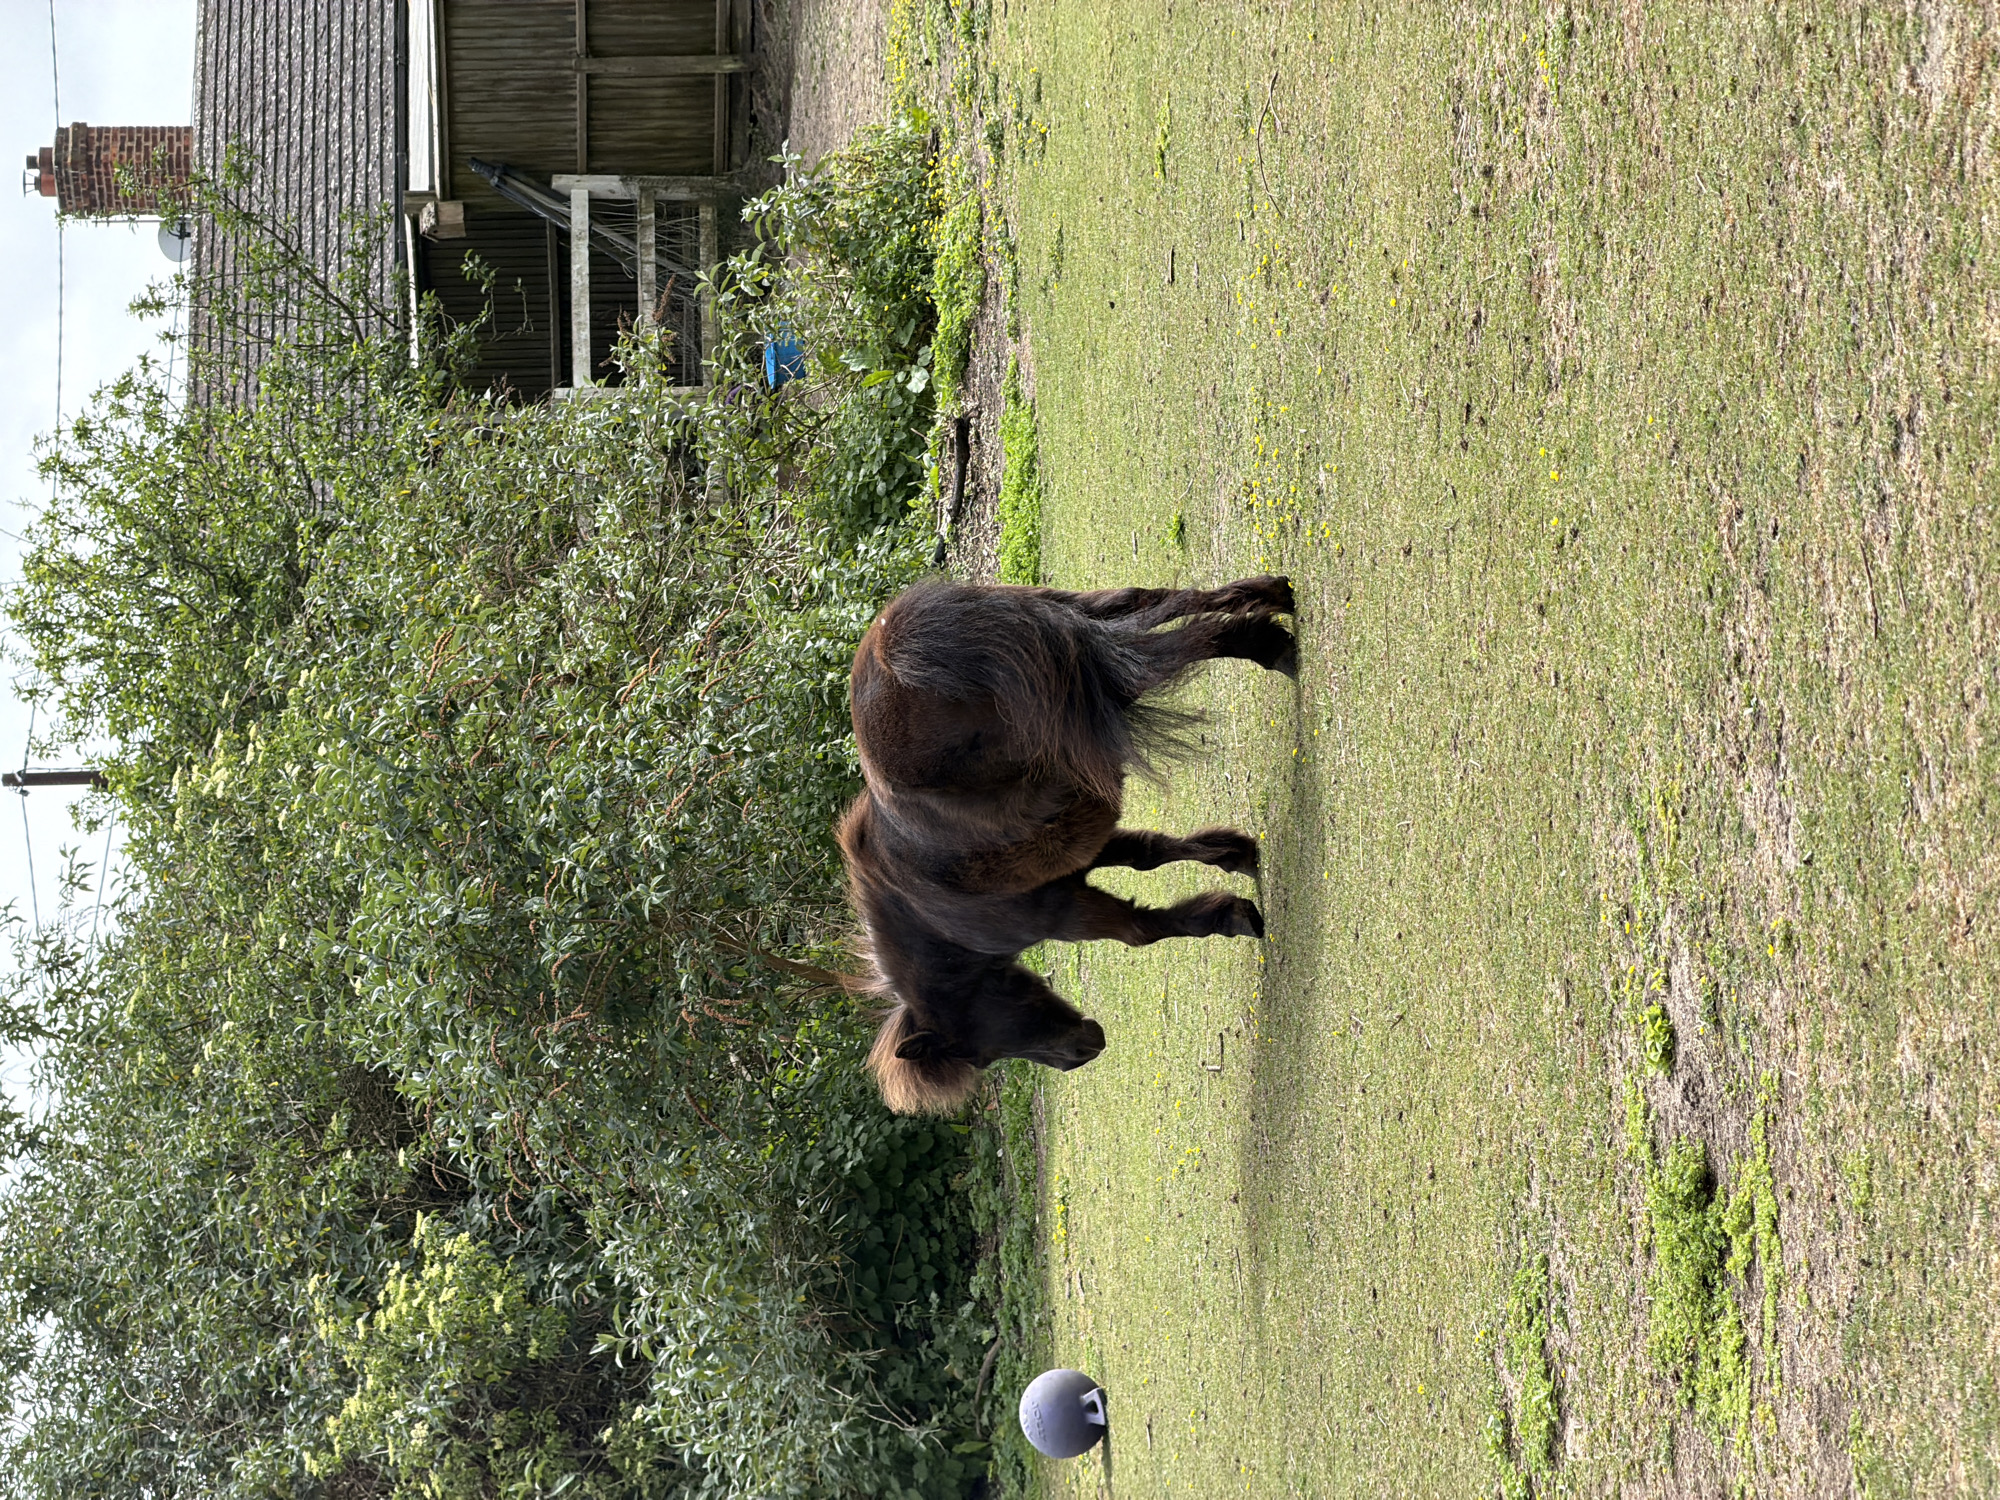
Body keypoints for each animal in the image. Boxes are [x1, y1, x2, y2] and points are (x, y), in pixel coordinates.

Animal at [836, 575, 1297, 1114]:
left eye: (979, 1054)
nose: (1081, 1055)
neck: (933, 914)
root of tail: (895, 644)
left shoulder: (1065, 912)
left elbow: (1141, 931)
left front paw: (1230, 916)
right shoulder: (1079, 853)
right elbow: (1148, 854)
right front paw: (1233, 855)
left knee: (1174, 650)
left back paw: (1269, 645)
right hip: (1081, 629)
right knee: (1165, 602)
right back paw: (1273, 599)